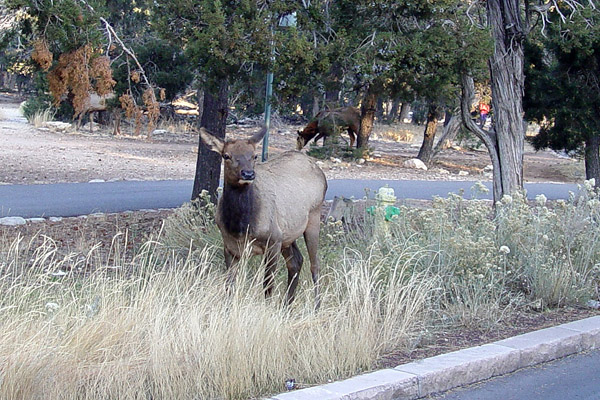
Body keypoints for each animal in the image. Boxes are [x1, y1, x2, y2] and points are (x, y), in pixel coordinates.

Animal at [199, 127, 326, 306]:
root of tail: (319, 170)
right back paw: (287, 305)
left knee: (314, 264)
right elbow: (229, 284)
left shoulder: (273, 241)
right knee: (296, 261)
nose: (248, 173)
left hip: (313, 218)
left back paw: (316, 306)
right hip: (288, 234)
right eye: (226, 156)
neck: (241, 226)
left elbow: (267, 285)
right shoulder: (230, 246)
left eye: (254, 155)